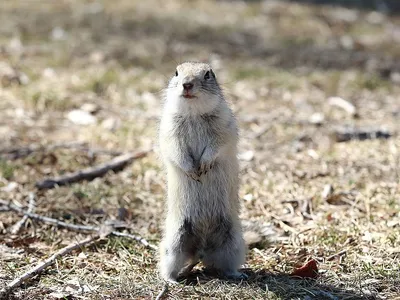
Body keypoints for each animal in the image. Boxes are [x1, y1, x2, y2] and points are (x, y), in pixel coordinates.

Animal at [159, 62, 247, 282]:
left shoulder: (224, 129)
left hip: (233, 243)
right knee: (169, 266)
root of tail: (200, 251)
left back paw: (237, 275)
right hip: (174, 243)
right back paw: (172, 280)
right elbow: (176, 150)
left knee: (225, 266)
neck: (194, 113)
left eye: (208, 74)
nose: (187, 84)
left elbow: (217, 145)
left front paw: (204, 165)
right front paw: (192, 170)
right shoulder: (169, 132)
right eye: (176, 72)